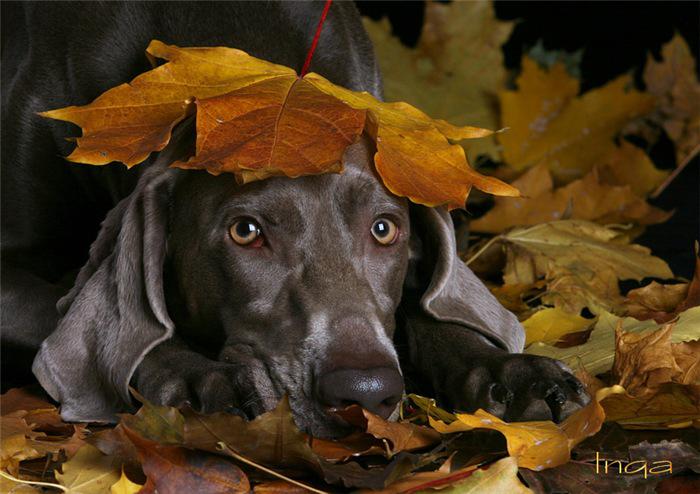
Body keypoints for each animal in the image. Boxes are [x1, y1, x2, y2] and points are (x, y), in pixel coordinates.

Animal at [2, 2, 588, 436]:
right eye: (246, 232)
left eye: (384, 229)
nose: (364, 392)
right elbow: (66, 309)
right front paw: (195, 377)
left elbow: (424, 307)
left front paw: (509, 370)